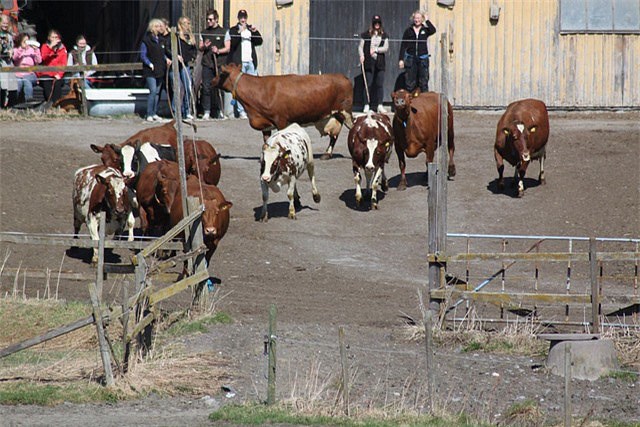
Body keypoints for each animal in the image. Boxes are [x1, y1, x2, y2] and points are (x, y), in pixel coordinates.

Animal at [211, 62, 356, 158]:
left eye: (221, 73)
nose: (212, 81)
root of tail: (343, 77)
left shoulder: (281, 120)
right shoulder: (265, 124)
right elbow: (266, 142)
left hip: (346, 112)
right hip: (336, 115)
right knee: (335, 135)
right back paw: (327, 154)